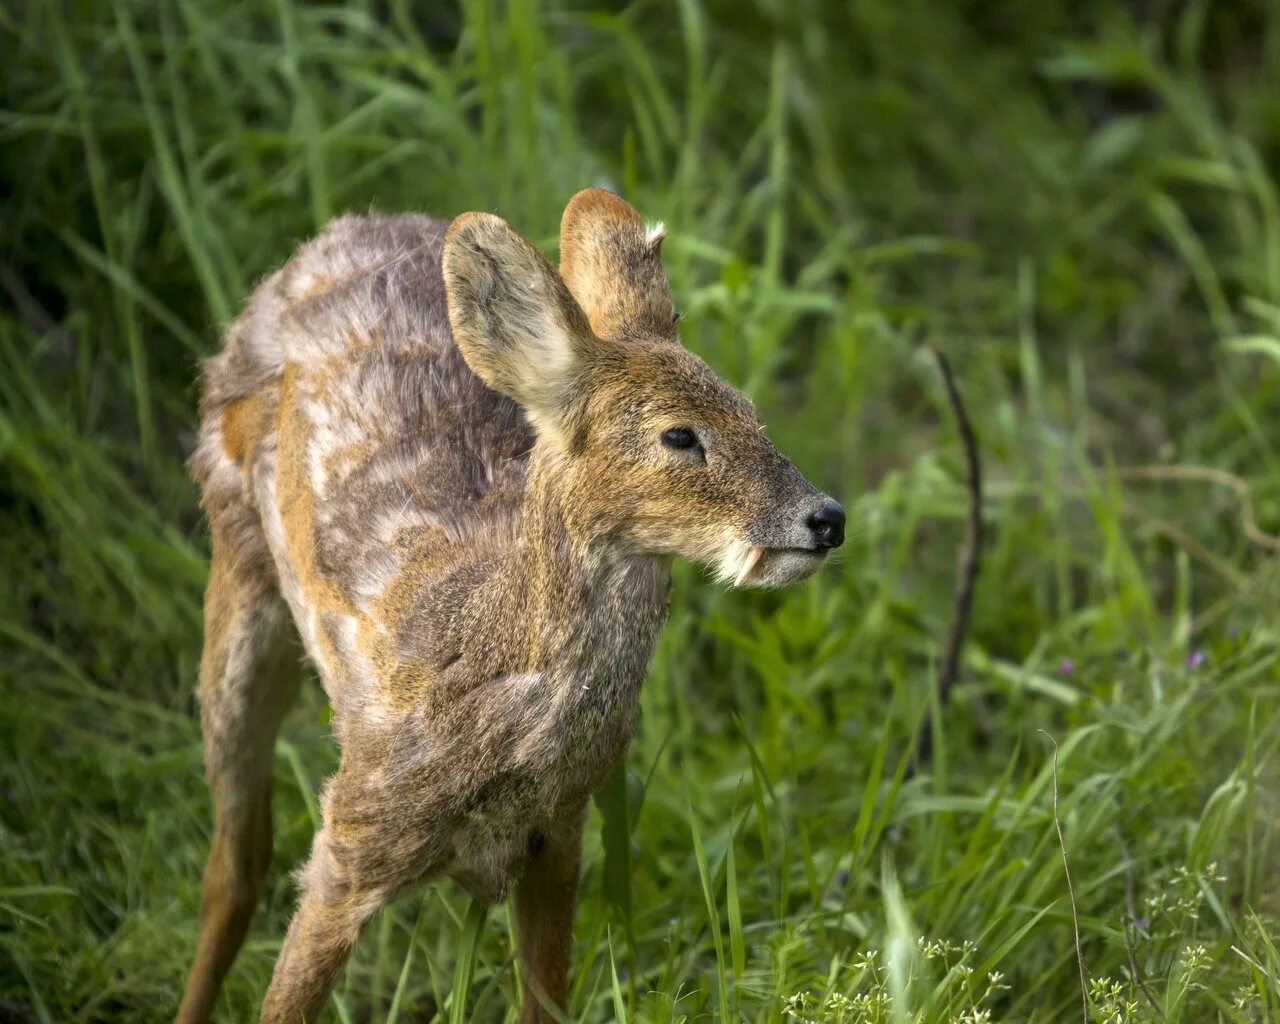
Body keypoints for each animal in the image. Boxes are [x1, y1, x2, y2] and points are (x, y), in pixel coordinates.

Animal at [175, 188, 844, 1018]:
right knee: (234, 865)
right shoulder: (352, 836)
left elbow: (545, 1001)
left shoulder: (561, 835)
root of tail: (342, 229)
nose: (825, 517)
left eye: (751, 411)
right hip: (236, 563)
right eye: (679, 435)